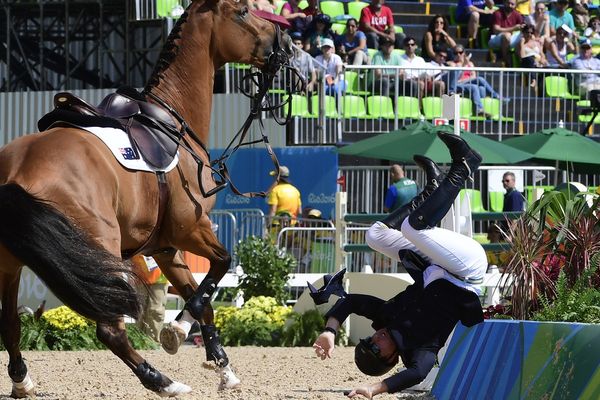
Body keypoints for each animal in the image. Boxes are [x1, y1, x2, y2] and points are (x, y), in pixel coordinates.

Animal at [0, 0, 292, 396]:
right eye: (243, 11)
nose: (286, 42)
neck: (171, 120)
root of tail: (17, 173)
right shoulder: (191, 229)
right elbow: (218, 270)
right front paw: (176, 331)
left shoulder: (165, 247)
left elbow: (203, 300)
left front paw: (224, 369)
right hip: (101, 250)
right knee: (110, 329)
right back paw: (163, 381)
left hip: (10, 263)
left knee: (9, 324)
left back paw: (22, 381)